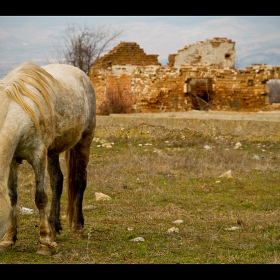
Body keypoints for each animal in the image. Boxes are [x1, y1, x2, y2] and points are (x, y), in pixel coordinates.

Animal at [0, 61, 95, 256]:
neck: (23, 109)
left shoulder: (38, 157)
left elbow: (40, 197)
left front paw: (44, 243)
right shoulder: (13, 160)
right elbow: (13, 196)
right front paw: (8, 239)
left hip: (84, 141)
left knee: (80, 182)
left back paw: (77, 229)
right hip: (53, 151)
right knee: (57, 181)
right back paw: (54, 228)